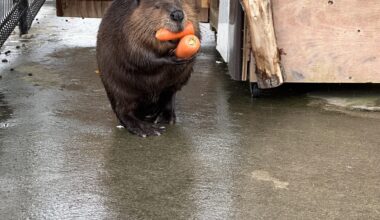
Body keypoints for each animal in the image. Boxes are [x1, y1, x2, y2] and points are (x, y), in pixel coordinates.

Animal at [96, 0, 200, 138]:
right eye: (157, 6)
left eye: (179, 2)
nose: (177, 15)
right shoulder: (127, 29)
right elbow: (138, 56)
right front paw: (172, 57)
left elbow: (196, 31)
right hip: (118, 87)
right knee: (123, 110)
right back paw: (147, 129)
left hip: (173, 86)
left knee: (168, 96)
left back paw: (164, 117)